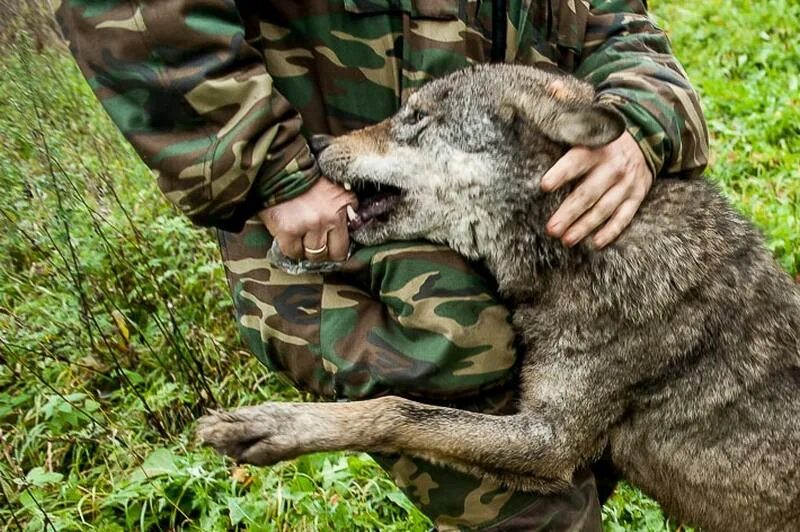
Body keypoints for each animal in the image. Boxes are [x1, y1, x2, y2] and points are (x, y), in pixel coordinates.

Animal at [198, 64, 800, 528]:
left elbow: (398, 410)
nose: (315, 145)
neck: (575, 244)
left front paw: (272, 426)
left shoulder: (550, 444)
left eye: (416, 117)